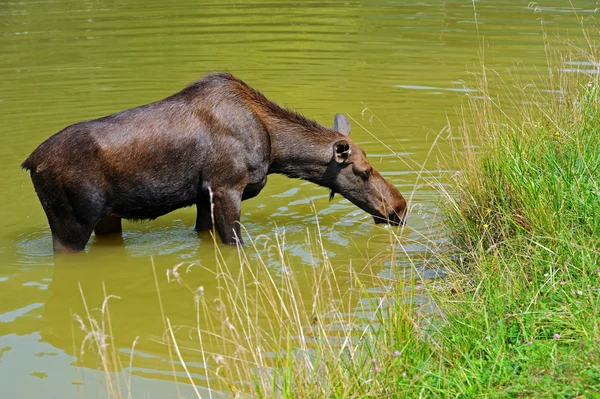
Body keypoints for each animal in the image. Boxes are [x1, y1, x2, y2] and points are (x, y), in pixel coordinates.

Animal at [23, 73, 408, 252]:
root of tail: (30, 163)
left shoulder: (203, 196)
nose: (400, 208)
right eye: (364, 171)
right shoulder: (226, 188)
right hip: (71, 223)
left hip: (107, 218)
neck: (276, 152)